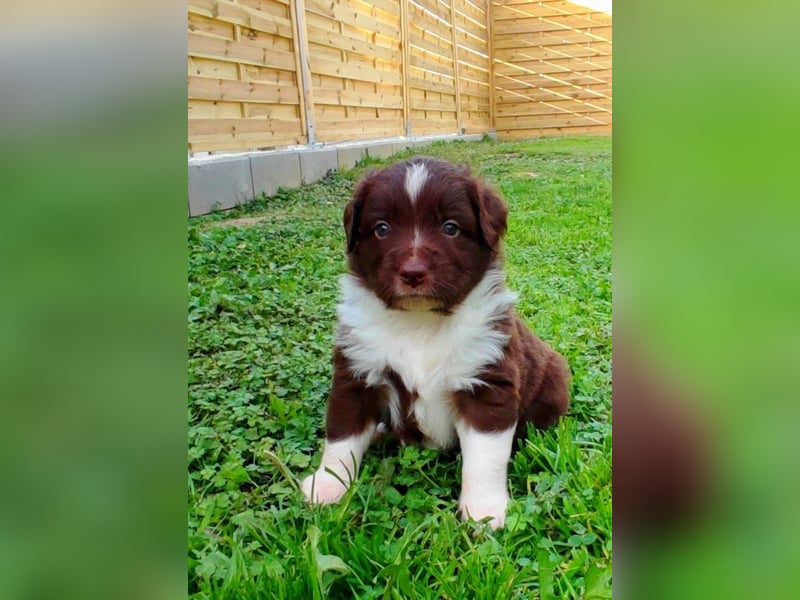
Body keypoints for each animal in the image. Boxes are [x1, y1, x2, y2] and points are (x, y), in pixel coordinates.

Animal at [300, 157, 568, 528]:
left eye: (450, 227)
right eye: (381, 228)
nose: (413, 273)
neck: (420, 323)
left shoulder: (487, 382)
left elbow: (484, 457)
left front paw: (483, 511)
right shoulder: (356, 373)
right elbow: (341, 435)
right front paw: (327, 486)